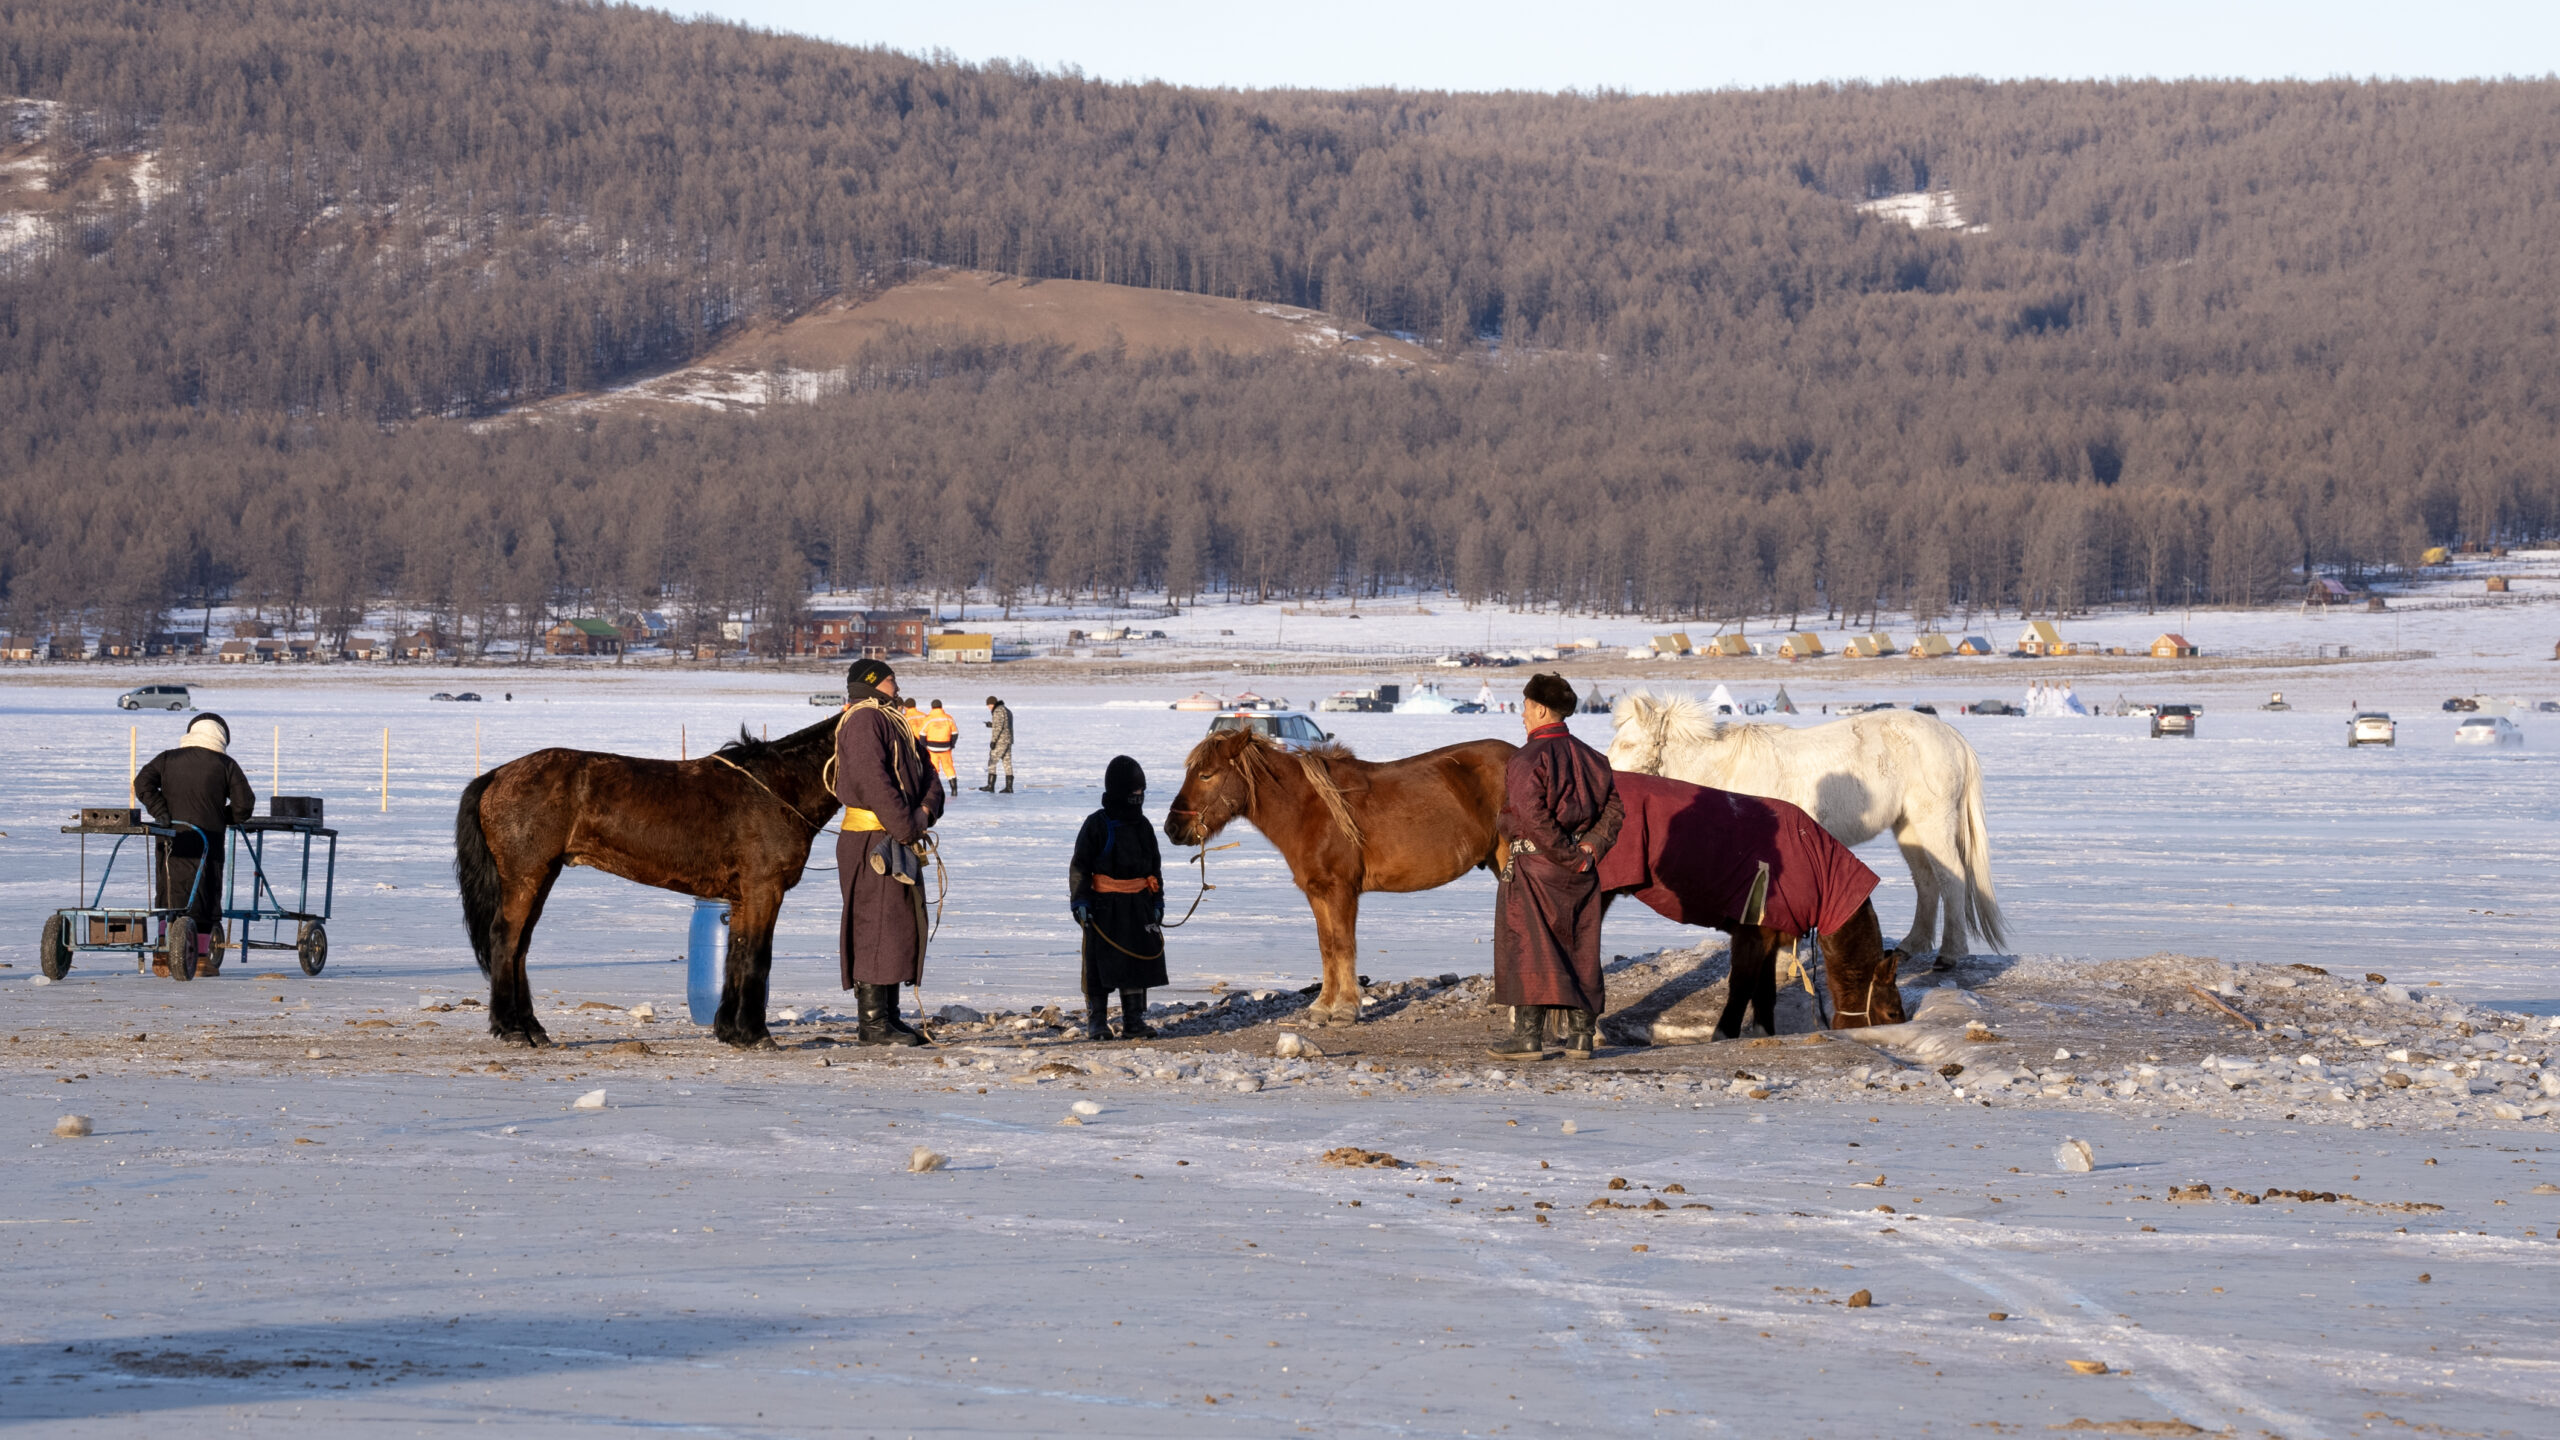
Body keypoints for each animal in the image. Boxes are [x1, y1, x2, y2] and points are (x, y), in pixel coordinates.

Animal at [450, 707, 829, 1035]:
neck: (775, 787)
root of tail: (497, 775)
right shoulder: (764, 888)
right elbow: (756, 956)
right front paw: (753, 1032)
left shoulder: (741, 897)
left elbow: (735, 954)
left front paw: (730, 1030)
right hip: (526, 876)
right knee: (505, 939)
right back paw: (511, 1028)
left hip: (541, 877)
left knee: (521, 945)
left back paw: (531, 1027)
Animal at [1167, 727, 1515, 1019]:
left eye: (1206, 774)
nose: (1172, 828)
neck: (1310, 809)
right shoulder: (1318, 891)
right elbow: (1327, 946)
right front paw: (1323, 1006)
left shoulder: (1342, 890)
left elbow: (1345, 945)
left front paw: (1347, 1008)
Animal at [1607, 691, 2007, 958]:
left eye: (1627, 743)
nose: (1608, 779)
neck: (1726, 769)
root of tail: (1951, 736)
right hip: (1907, 827)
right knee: (1926, 880)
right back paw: (1913, 945)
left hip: (1932, 820)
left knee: (1951, 878)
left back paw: (1950, 954)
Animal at [1607, 773, 1914, 1030]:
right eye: (1892, 1013)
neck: (1817, 870)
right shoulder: (1752, 931)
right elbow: (1741, 989)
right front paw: (1724, 1034)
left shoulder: (1770, 936)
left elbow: (1765, 995)